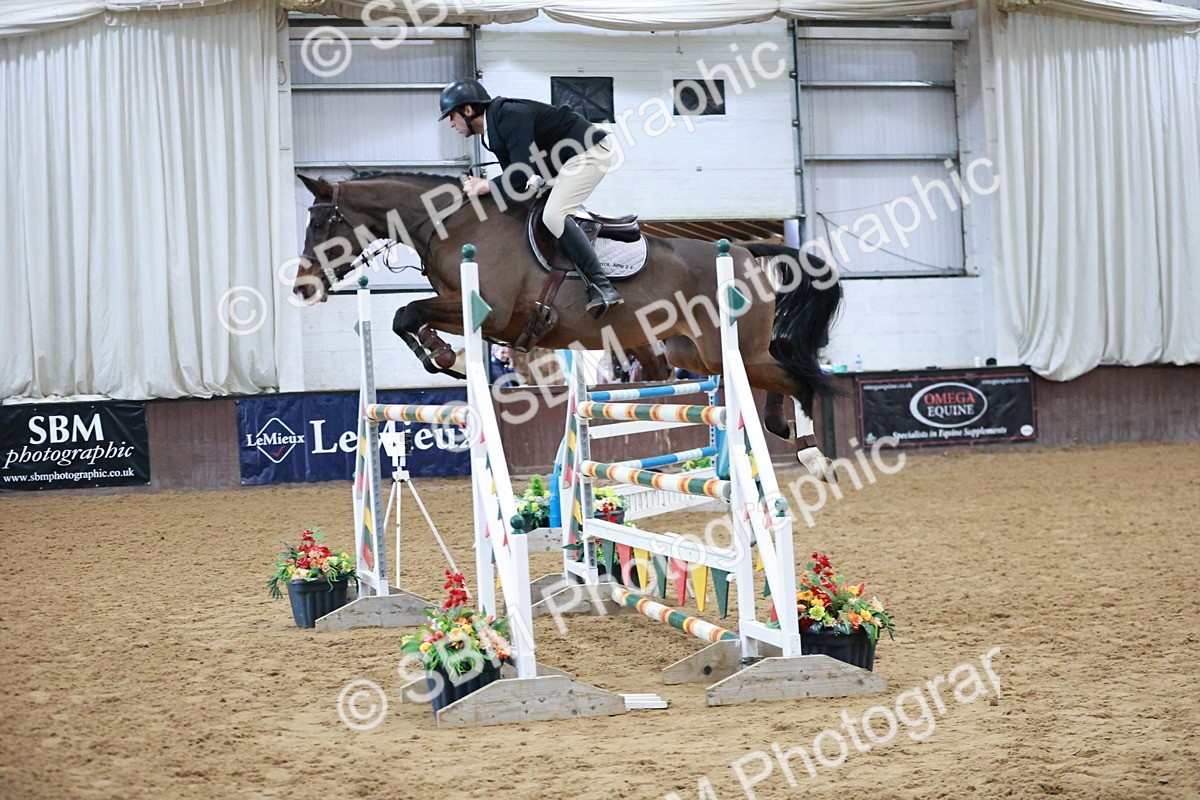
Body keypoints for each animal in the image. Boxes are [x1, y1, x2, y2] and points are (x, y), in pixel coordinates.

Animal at [293, 172, 842, 477]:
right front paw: (442, 355)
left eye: (321, 223)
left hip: (729, 347)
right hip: (697, 353)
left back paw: (813, 453)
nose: (301, 287)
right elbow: (404, 317)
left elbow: (406, 312)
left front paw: (446, 356)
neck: (453, 226)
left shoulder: (489, 310)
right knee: (774, 368)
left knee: (798, 376)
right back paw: (778, 424)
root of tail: (746, 251)